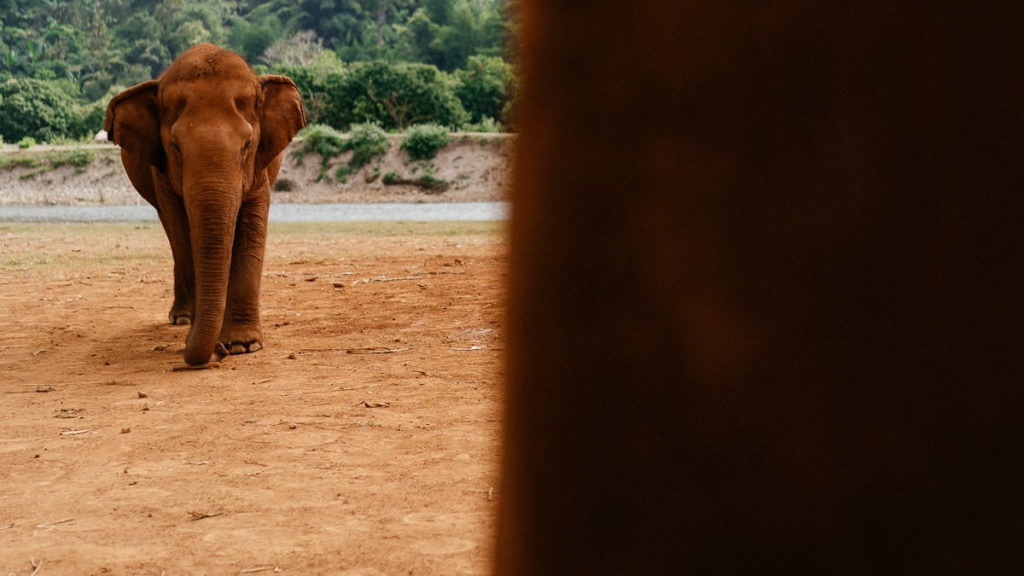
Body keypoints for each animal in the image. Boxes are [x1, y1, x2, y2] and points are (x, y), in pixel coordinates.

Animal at [104, 44, 306, 365]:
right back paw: (182, 318)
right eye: (175, 146)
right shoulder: (162, 175)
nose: (218, 350)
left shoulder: (259, 170)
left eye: (247, 145)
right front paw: (206, 340)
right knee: (174, 238)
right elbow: (183, 232)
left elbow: (250, 229)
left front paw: (244, 345)